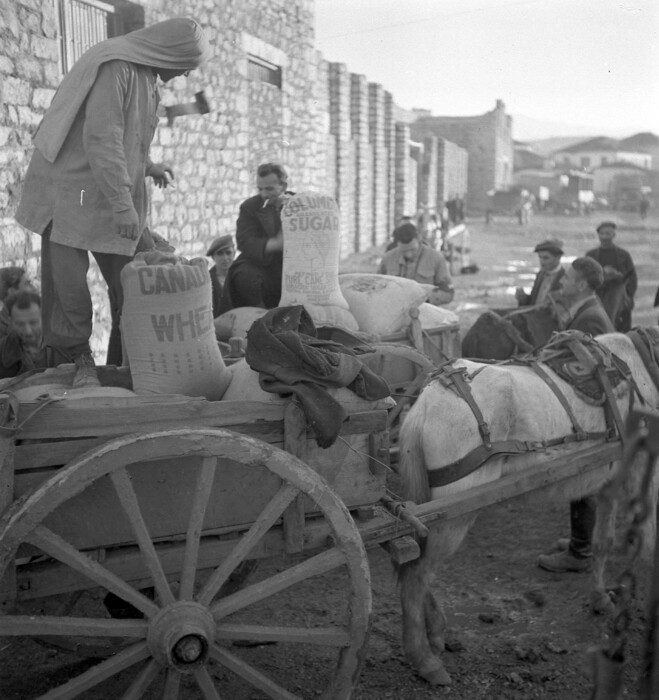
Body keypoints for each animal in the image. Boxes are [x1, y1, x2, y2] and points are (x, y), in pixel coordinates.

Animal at [394, 332, 656, 684]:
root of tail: (425, 403)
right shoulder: (645, 472)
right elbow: (651, 546)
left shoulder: (611, 480)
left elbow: (602, 543)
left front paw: (601, 598)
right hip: (453, 515)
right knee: (417, 574)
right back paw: (424, 658)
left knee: (419, 567)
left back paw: (436, 632)